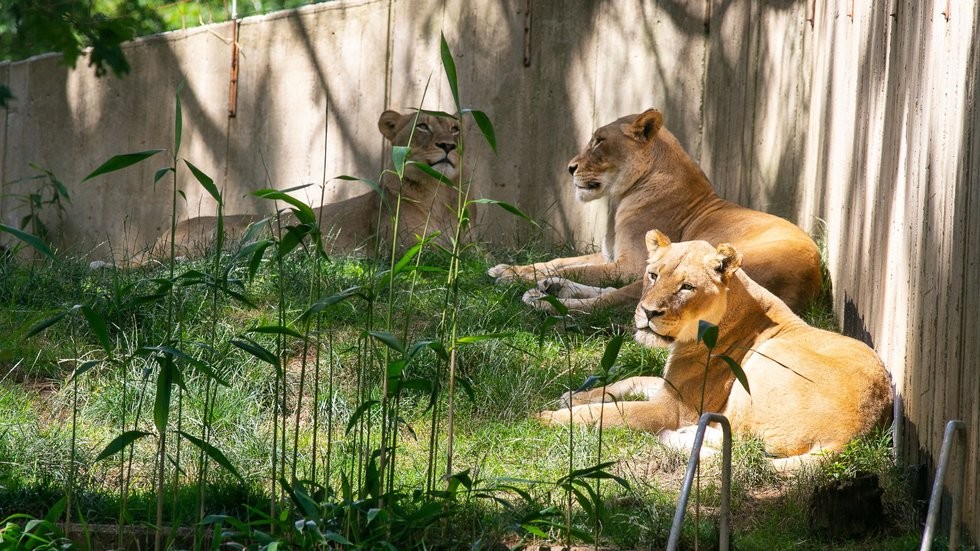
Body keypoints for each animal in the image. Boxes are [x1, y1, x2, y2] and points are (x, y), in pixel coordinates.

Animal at [115, 110, 468, 267]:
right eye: (423, 126)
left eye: (455, 129)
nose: (448, 146)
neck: (435, 194)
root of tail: (161, 239)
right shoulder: (402, 249)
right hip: (233, 234)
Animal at [488, 108, 822, 314]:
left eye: (599, 140)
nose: (570, 168)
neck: (621, 195)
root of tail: (810, 283)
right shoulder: (611, 257)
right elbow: (558, 262)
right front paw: (509, 269)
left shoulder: (629, 265)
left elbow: (574, 268)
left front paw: (511, 277)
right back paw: (551, 288)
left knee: (608, 303)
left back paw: (542, 302)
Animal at [537, 230, 892, 469]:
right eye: (653, 275)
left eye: (686, 287)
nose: (648, 312)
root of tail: (854, 435)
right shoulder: (670, 388)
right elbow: (630, 381)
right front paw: (573, 396)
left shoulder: (673, 408)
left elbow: (610, 413)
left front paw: (548, 417)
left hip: (761, 367)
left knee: (741, 442)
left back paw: (675, 436)